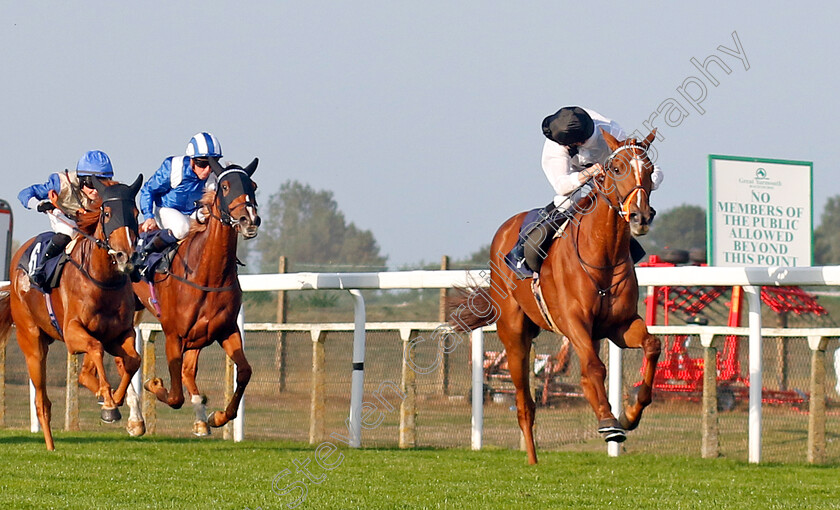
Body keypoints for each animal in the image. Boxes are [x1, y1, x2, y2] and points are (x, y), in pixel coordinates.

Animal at [0, 176, 143, 450]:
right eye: (107, 213)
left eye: (135, 212)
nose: (126, 257)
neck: (102, 280)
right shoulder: (72, 332)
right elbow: (95, 350)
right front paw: (109, 403)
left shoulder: (120, 333)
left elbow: (132, 360)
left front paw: (116, 401)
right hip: (32, 342)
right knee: (41, 402)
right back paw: (50, 446)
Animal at [133, 158, 260, 434]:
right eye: (225, 186)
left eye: (253, 185)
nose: (250, 220)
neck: (207, 274)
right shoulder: (173, 333)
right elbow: (174, 395)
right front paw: (153, 383)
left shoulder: (226, 329)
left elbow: (245, 371)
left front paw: (218, 416)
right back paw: (135, 420)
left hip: (197, 336)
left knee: (189, 371)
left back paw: (201, 419)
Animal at [450, 129, 660, 464]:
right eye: (616, 168)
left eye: (650, 170)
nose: (640, 216)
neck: (601, 255)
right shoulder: (574, 323)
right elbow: (594, 368)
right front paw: (608, 422)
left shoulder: (620, 324)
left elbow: (651, 345)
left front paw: (629, 415)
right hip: (514, 336)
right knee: (525, 404)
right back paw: (532, 460)